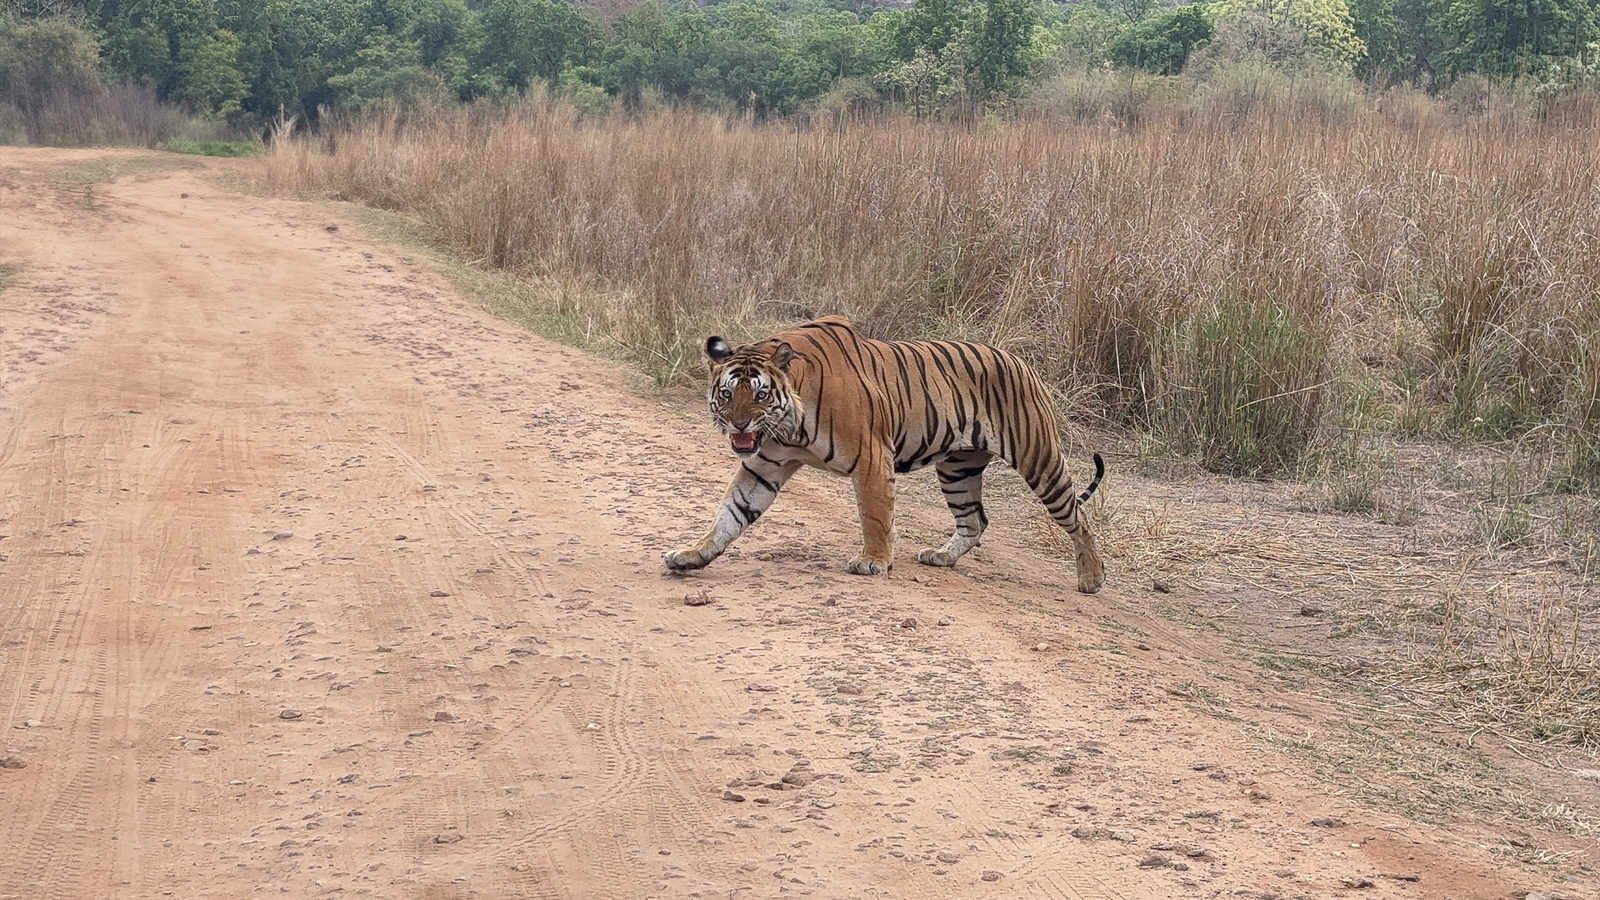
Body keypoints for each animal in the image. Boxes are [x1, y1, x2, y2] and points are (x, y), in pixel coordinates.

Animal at [663, 316, 1106, 593]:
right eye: (726, 394)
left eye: (760, 395)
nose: (738, 425)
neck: (788, 422)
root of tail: (1022, 362)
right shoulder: (764, 465)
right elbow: (729, 514)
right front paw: (692, 555)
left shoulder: (872, 458)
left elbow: (875, 515)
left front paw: (873, 561)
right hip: (958, 469)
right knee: (974, 520)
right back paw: (941, 557)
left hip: (1039, 458)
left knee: (1078, 517)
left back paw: (1091, 579)